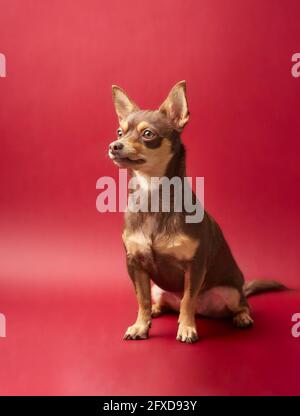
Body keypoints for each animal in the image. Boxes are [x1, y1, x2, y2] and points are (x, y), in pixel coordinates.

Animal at [108, 79, 284, 342]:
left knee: (241, 304)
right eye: (120, 132)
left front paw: (187, 328)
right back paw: (157, 311)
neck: (153, 196)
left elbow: (188, 301)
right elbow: (142, 300)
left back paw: (242, 317)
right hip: (159, 288)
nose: (114, 146)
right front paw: (140, 326)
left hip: (231, 291)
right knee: (159, 301)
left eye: (148, 134)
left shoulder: (195, 266)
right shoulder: (135, 264)